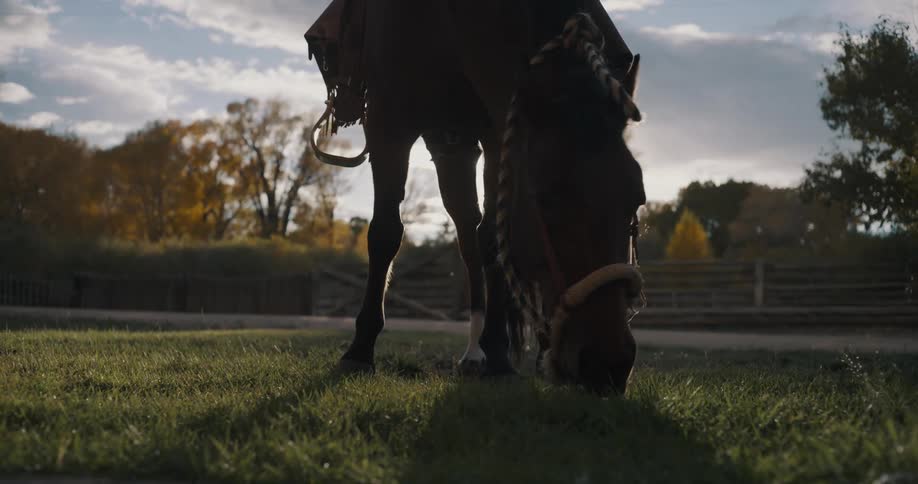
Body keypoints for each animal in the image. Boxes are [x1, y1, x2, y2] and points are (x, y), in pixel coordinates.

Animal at [310, 0, 646, 394]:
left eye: (637, 198)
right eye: (546, 198)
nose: (610, 364)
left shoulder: (499, 132)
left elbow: (493, 241)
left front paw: (499, 355)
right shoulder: (388, 121)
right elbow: (385, 234)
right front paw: (360, 350)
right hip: (450, 148)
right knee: (466, 236)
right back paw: (475, 352)